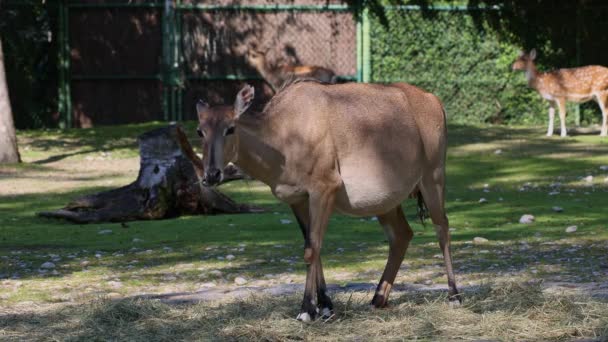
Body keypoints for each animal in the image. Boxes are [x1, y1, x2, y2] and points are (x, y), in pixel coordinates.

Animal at [196, 81, 460, 322]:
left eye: (230, 128)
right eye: (200, 131)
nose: (212, 174)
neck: (283, 134)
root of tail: (434, 101)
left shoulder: (324, 189)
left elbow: (312, 249)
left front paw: (306, 310)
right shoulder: (298, 199)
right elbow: (313, 246)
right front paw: (324, 306)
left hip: (433, 177)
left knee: (442, 228)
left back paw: (454, 295)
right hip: (386, 201)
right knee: (402, 235)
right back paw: (378, 298)